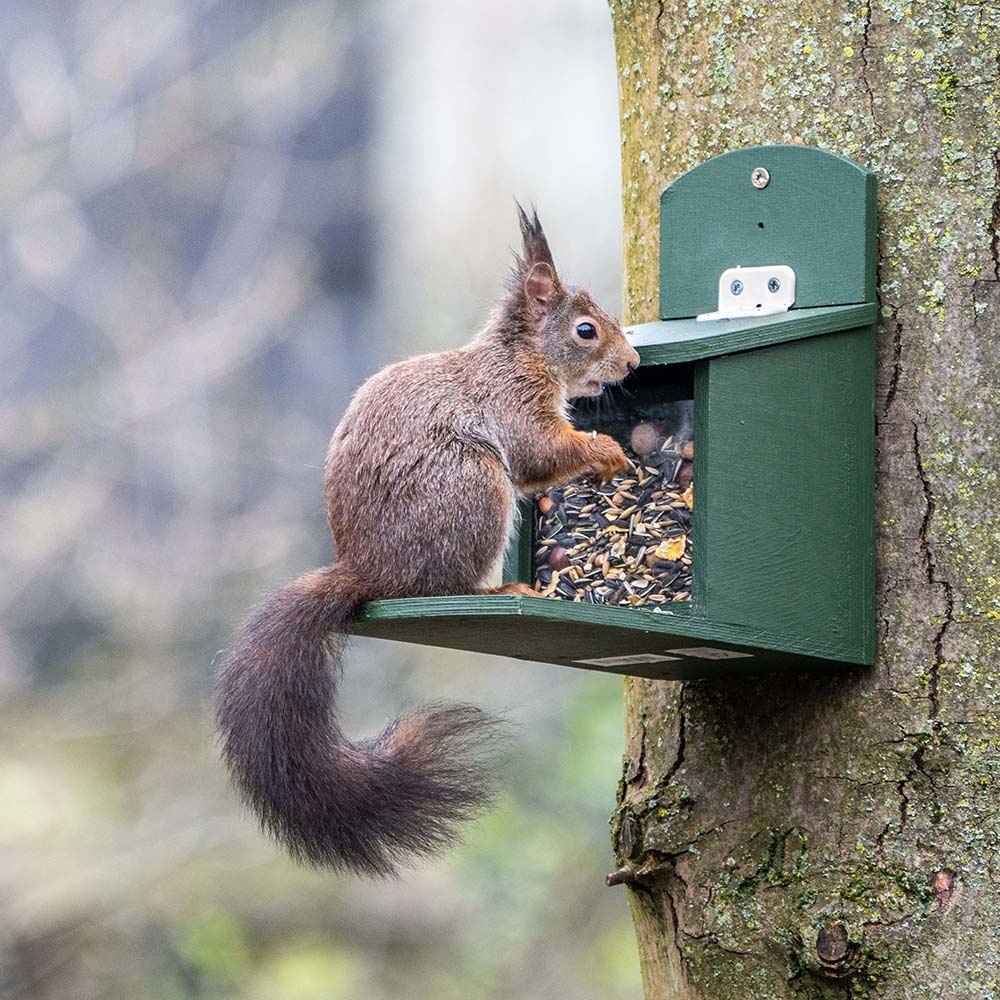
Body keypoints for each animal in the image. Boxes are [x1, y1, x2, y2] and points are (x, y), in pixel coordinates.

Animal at [218, 207, 640, 872]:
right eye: (586, 330)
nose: (634, 365)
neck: (522, 357)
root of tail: (366, 571)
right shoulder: (512, 403)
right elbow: (539, 452)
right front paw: (602, 450)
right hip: (473, 489)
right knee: (449, 583)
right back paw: (500, 591)